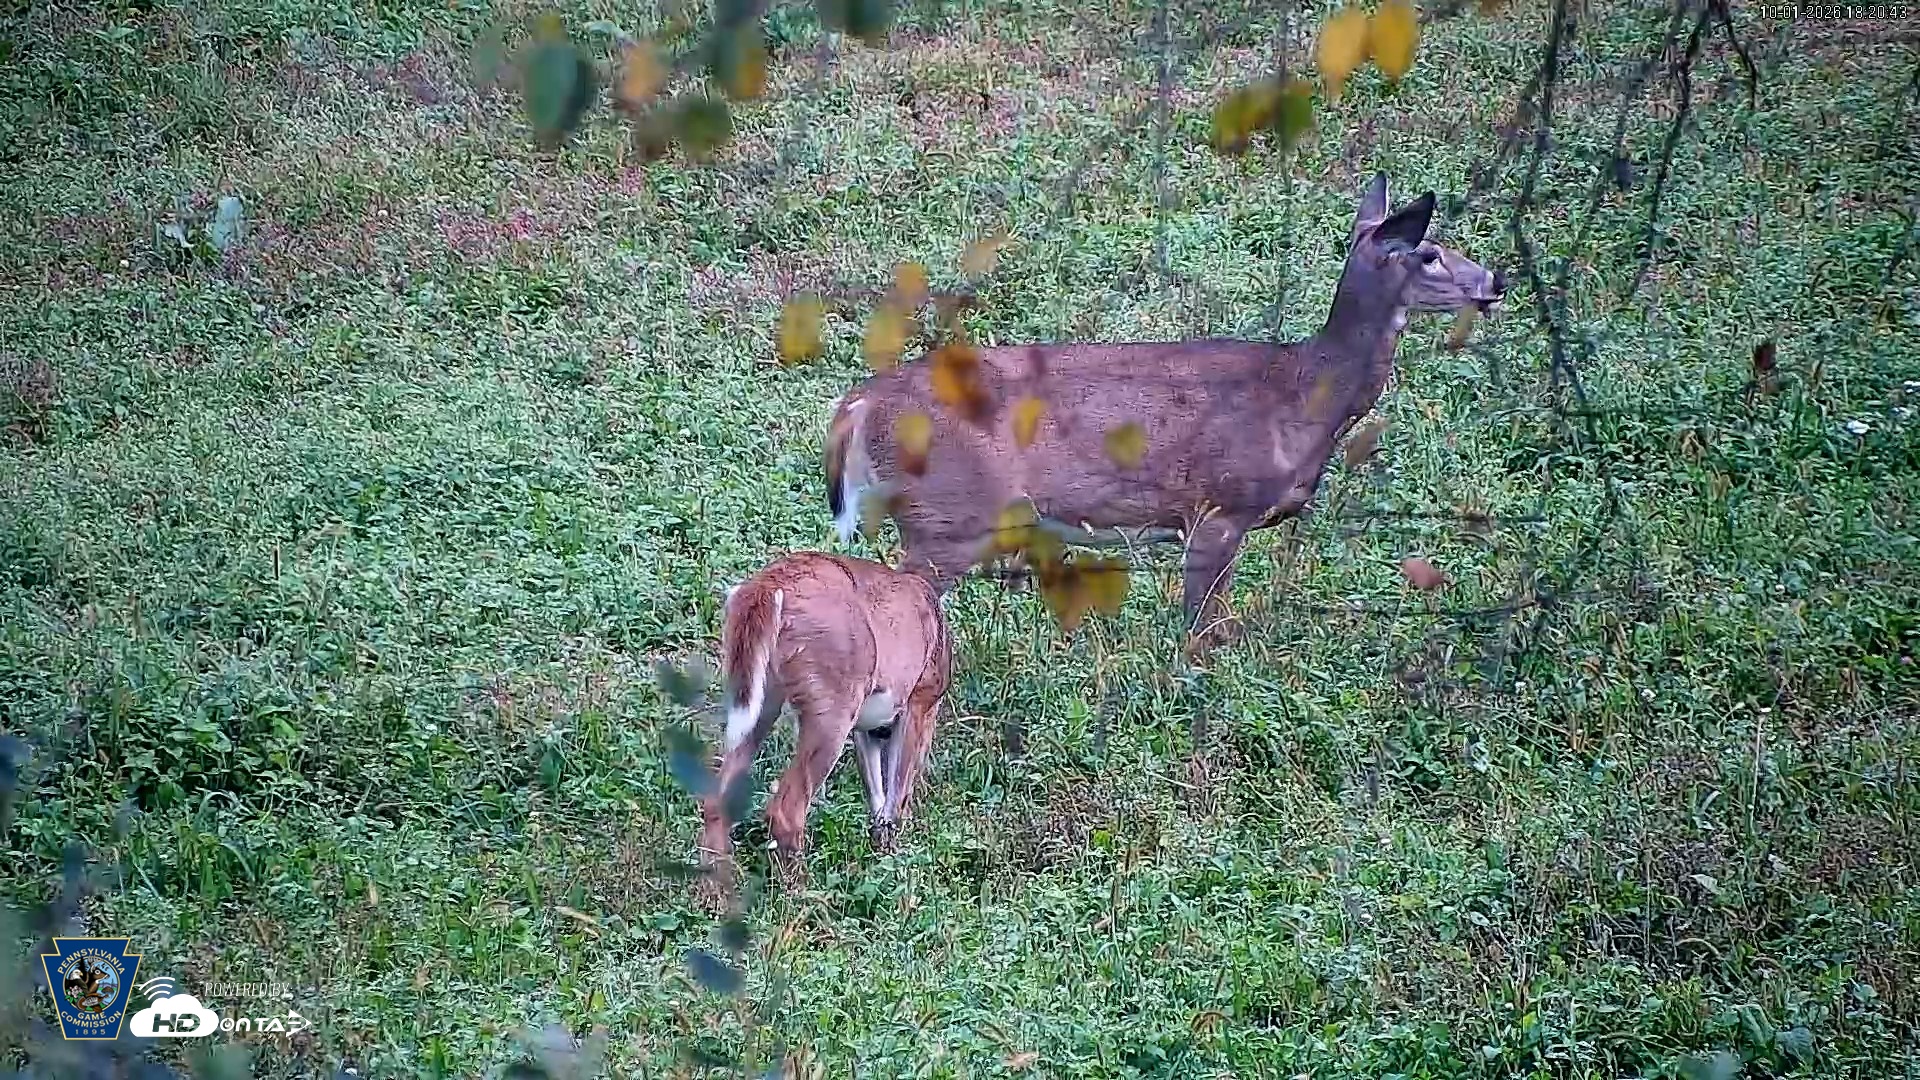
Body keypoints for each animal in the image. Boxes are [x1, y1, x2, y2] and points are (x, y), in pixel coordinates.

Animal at [697, 551, 951, 904]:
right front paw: (896, 863)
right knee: (786, 810)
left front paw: (881, 854)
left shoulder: (866, 726)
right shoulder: (920, 700)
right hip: (833, 701)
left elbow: (876, 793)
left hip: (758, 695)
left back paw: (715, 896)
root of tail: (767, 586)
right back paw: (804, 896)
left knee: (716, 797)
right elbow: (898, 791)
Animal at [821, 173, 1505, 651]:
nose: (1496, 281)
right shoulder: (1219, 507)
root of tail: (859, 403)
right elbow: (1199, 633)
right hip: (949, 517)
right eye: (1429, 253)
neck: (1303, 396)